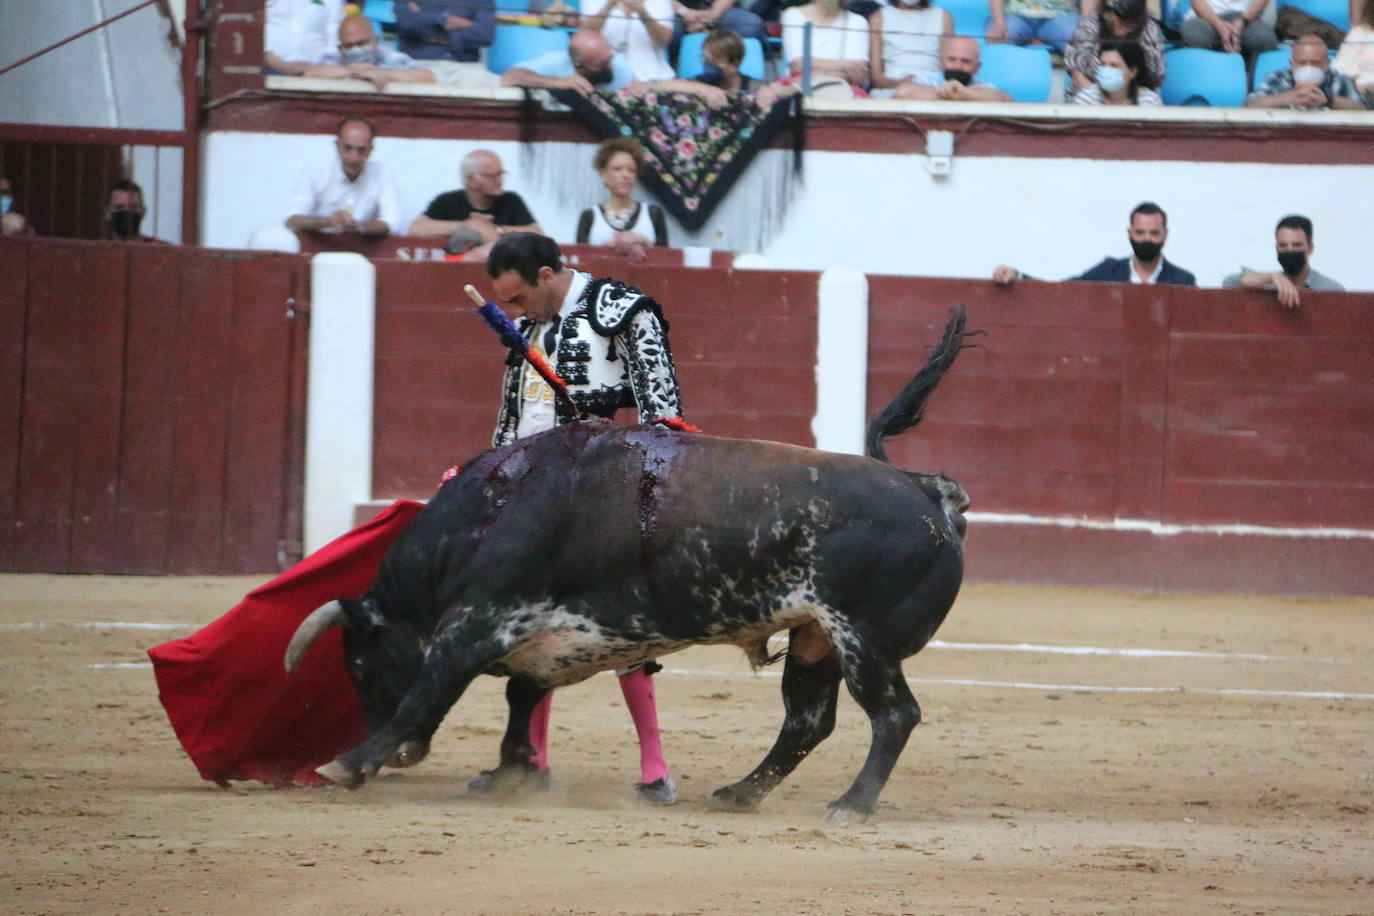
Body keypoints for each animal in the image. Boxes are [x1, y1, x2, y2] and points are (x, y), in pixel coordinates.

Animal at [281, 307, 967, 823]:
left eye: (360, 664)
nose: (404, 760)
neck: (488, 516)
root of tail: (925, 492)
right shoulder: (537, 635)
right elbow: (521, 697)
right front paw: (513, 771)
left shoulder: (476, 623)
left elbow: (428, 693)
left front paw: (349, 762)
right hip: (815, 637)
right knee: (807, 721)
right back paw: (738, 793)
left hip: (864, 638)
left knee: (892, 715)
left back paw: (851, 804)